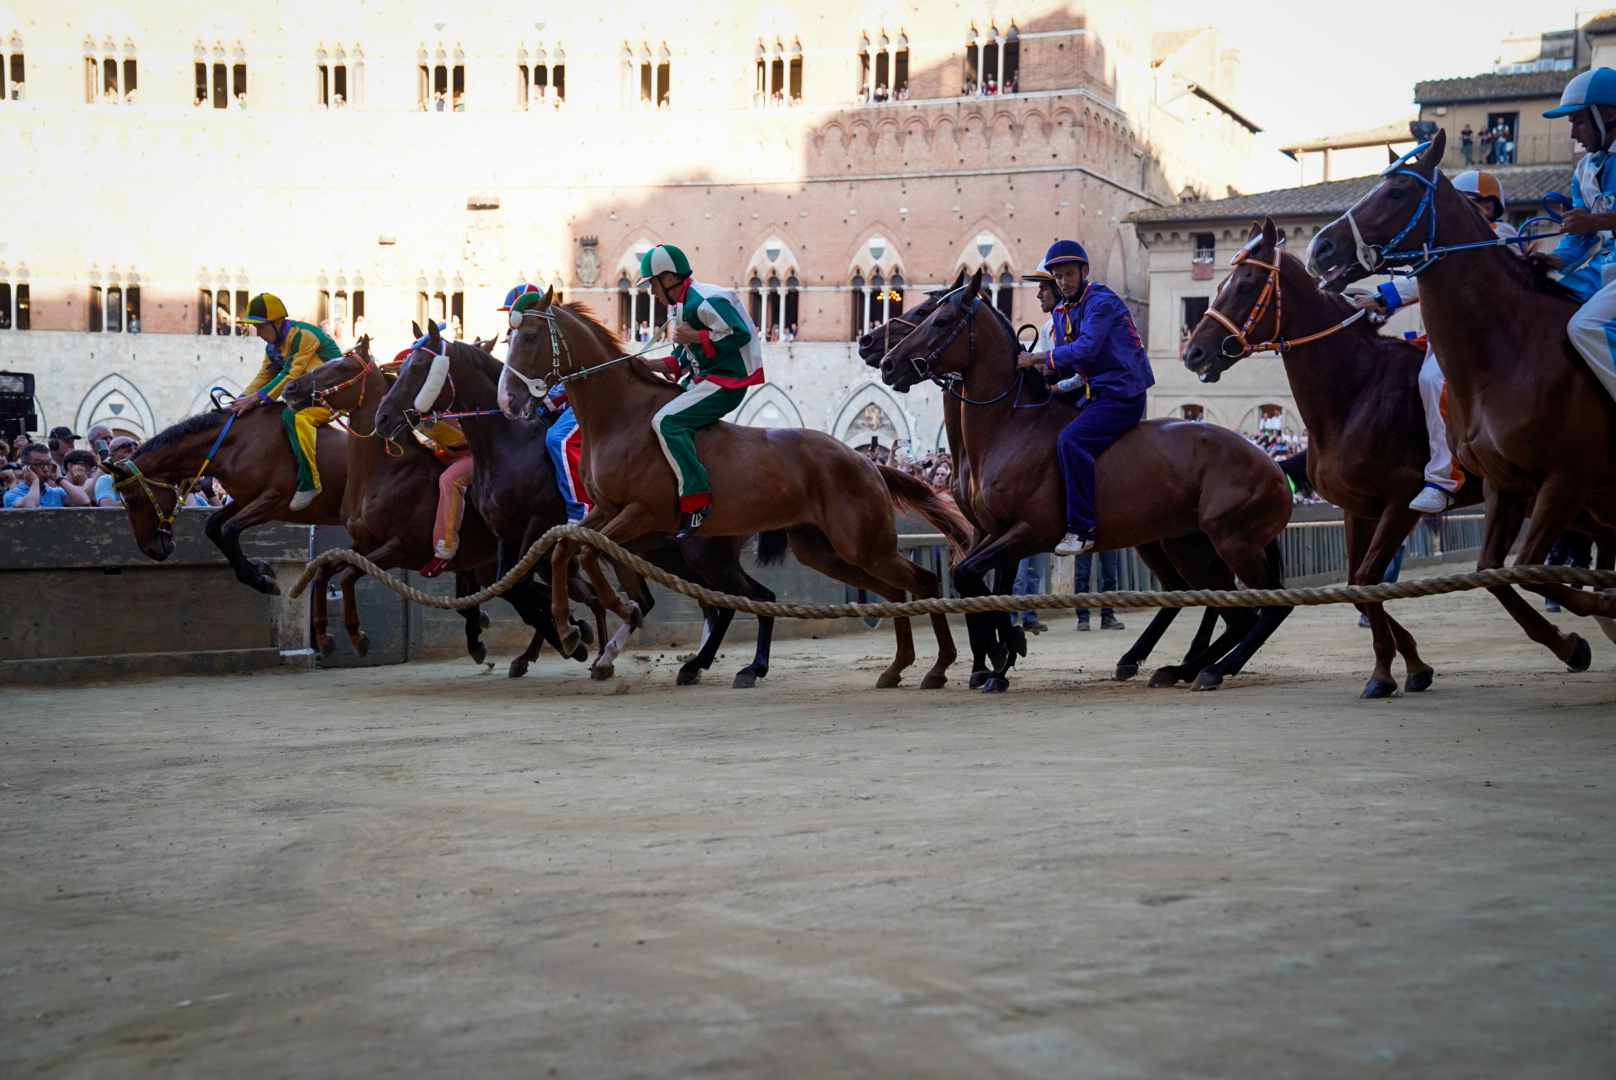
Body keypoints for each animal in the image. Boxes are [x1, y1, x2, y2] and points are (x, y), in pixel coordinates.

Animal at [373, 324, 788, 688]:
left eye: (418, 367)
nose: (383, 417)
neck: (510, 443)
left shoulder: (539, 528)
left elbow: (521, 586)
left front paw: (572, 637)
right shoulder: (507, 535)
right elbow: (511, 586)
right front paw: (567, 636)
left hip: (705, 553)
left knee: (752, 599)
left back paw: (742, 667)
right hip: (665, 553)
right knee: (701, 603)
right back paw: (677, 662)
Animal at [497, 291, 963, 688]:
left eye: (532, 336)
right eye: (508, 337)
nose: (507, 399)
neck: (622, 416)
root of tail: (865, 460)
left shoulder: (641, 512)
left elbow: (590, 555)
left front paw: (620, 610)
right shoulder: (605, 510)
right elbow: (563, 549)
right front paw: (568, 630)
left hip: (860, 544)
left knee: (921, 582)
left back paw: (937, 665)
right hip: (826, 551)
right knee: (894, 592)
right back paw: (897, 666)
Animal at [879, 268, 1292, 691]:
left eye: (938, 318)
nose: (888, 362)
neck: (1012, 427)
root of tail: (1272, 465)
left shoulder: (1030, 532)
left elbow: (973, 580)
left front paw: (1005, 649)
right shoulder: (996, 531)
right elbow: (981, 587)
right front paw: (999, 661)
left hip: (1232, 542)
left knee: (1266, 609)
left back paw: (1209, 668)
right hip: (1183, 545)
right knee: (1223, 607)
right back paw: (1176, 667)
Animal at [1299, 134, 1616, 640]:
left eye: (1396, 193)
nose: (1321, 247)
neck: (1514, 348)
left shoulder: (1565, 480)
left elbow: (1531, 570)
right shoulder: (1508, 485)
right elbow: (1498, 571)